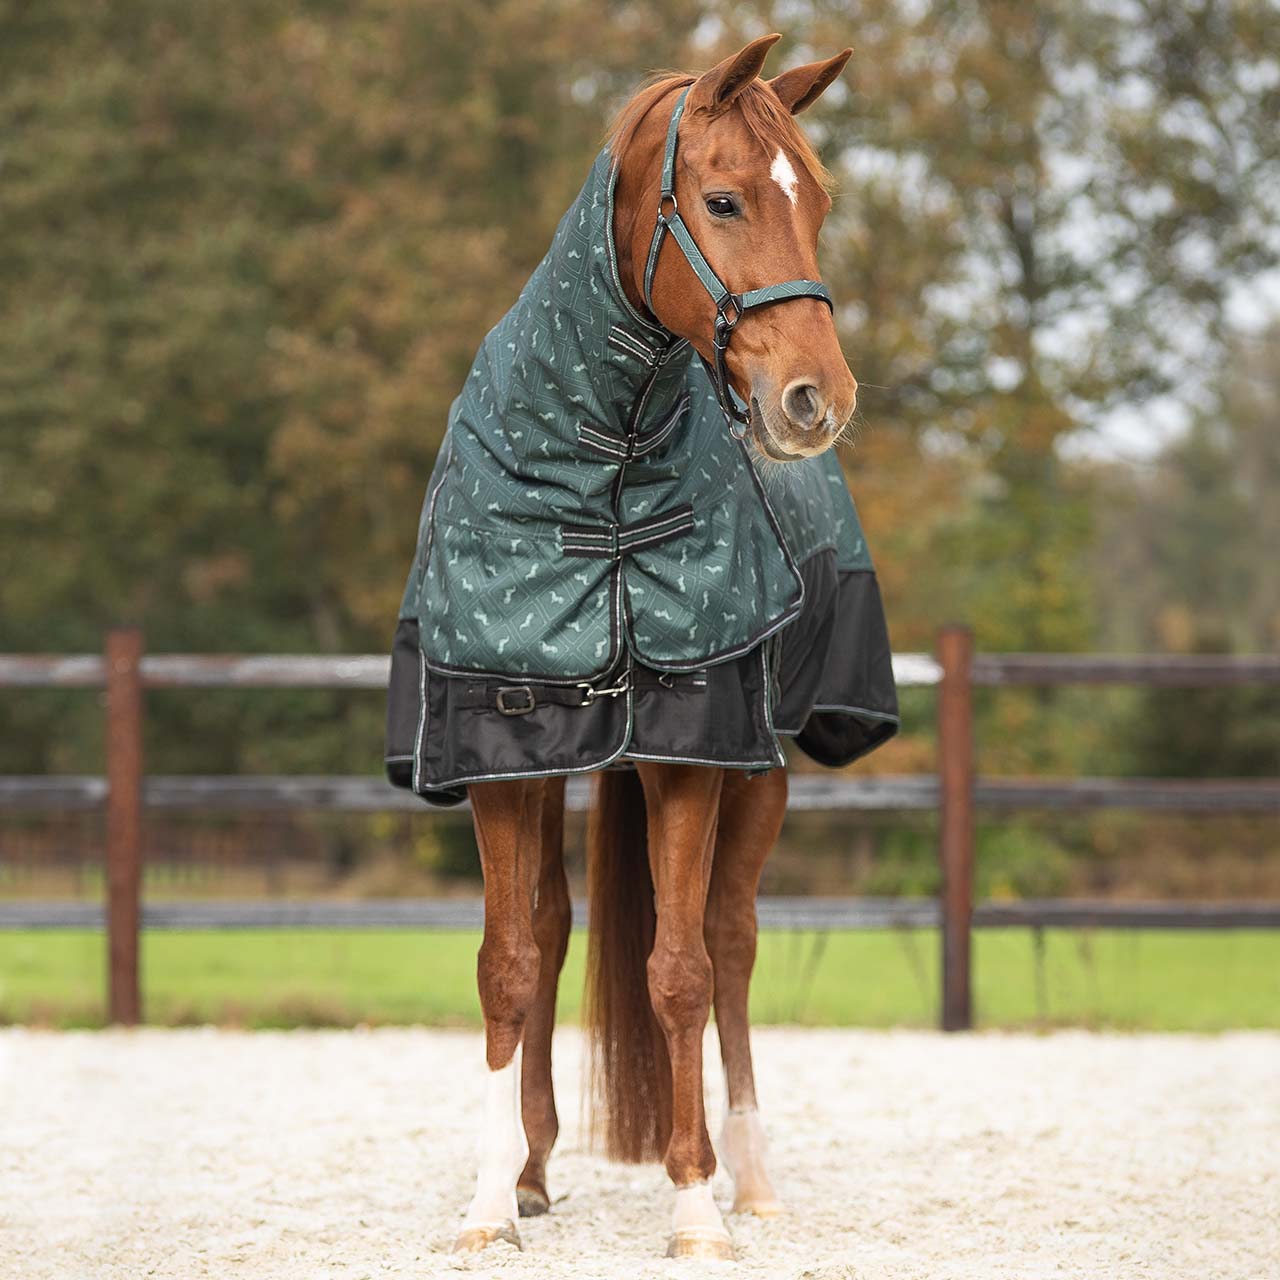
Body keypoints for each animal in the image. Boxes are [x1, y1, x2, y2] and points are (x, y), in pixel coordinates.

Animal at [384, 33, 898, 1260]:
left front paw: (693, 1204)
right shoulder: (499, 753)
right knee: (558, 927)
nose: (817, 399)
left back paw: (746, 1174)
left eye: (818, 203)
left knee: (732, 943)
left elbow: (679, 970)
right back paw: (534, 1167)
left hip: (762, 774)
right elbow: (511, 962)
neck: (603, 458)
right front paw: (491, 1203)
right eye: (723, 199)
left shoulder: (690, 752)